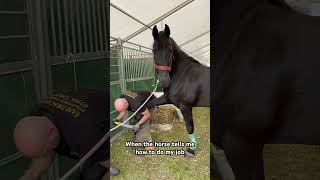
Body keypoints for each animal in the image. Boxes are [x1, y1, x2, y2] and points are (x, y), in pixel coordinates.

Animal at [149, 24, 211, 158]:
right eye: (154, 50)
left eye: (170, 50)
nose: (164, 81)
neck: (183, 75)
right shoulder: (167, 98)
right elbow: (149, 104)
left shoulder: (185, 106)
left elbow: (190, 127)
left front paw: (191, 150)